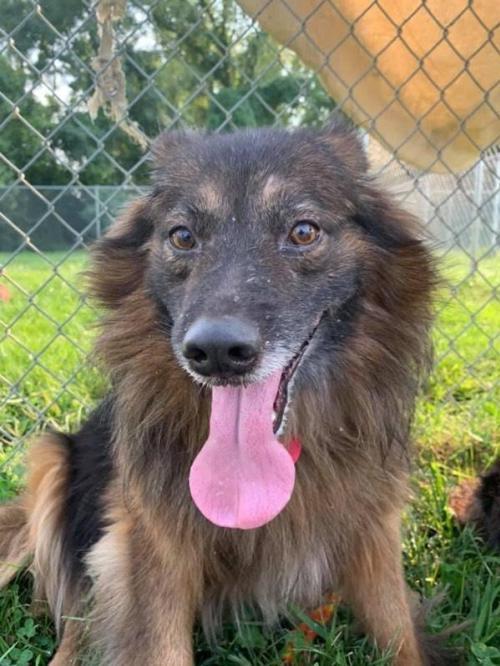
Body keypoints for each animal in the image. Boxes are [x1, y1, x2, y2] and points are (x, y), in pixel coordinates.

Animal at [0, 122, 454, 660]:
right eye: (182, 236)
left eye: (303, 231)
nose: (215, 352)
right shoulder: (151, 545)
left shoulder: (373, 532)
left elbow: (399, 634)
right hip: (53, 461)